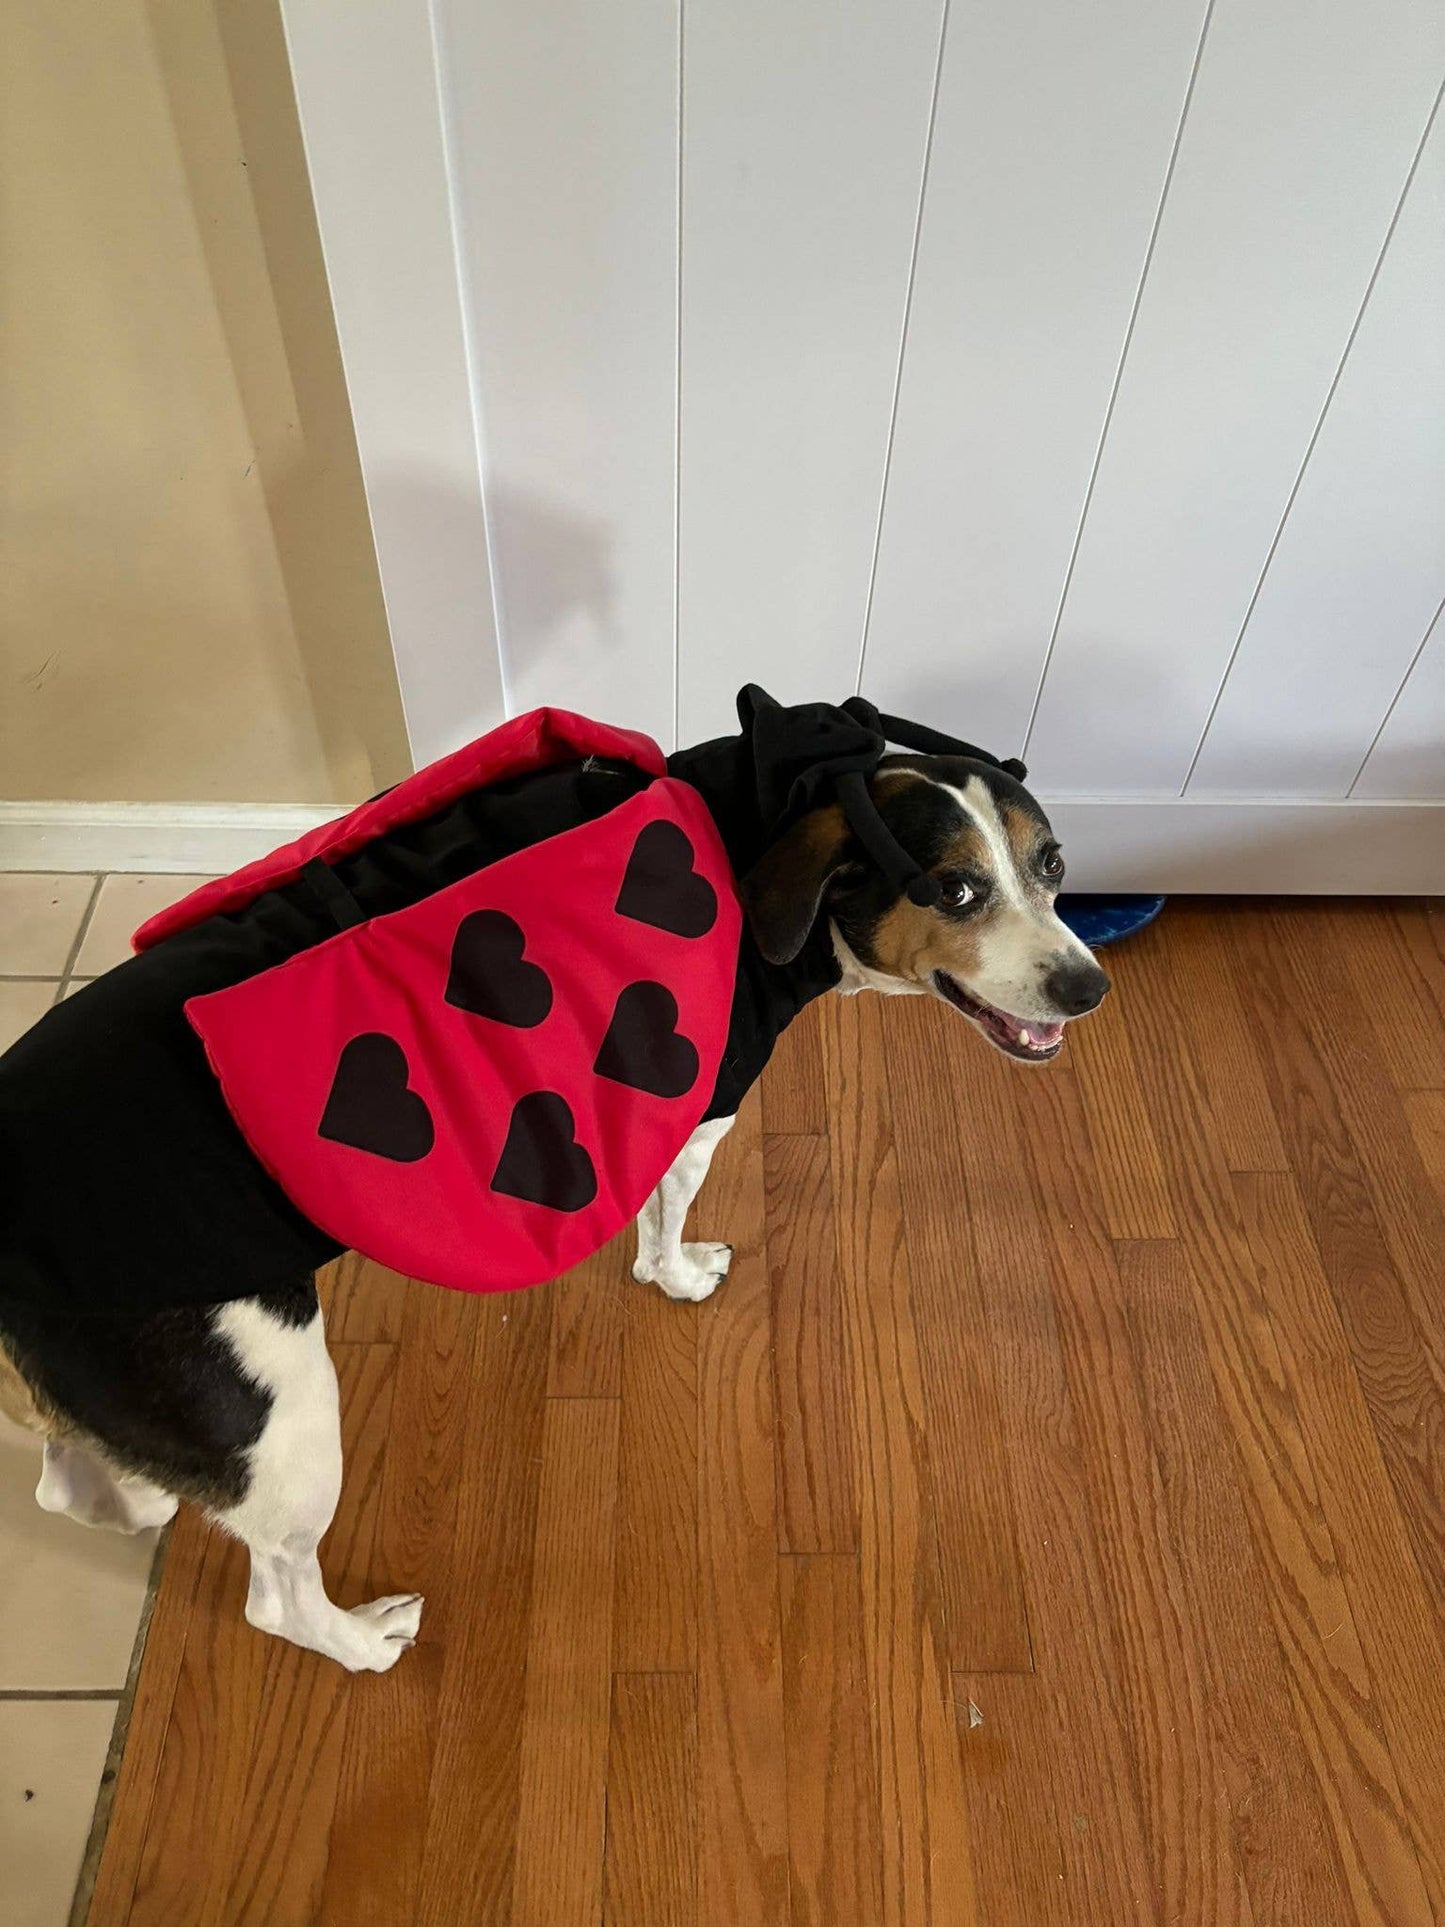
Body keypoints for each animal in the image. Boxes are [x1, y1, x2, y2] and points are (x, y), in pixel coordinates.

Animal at [0, 709, 1109, 1672]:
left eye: (1052, 867)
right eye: (950, 890)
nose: (1085, 986)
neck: (770, 800)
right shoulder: (700, 1115)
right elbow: (666, 1220)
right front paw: (676, 1275)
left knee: (75, 1491)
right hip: (282, 1413)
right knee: (277, 1594)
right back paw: (362, 1641)